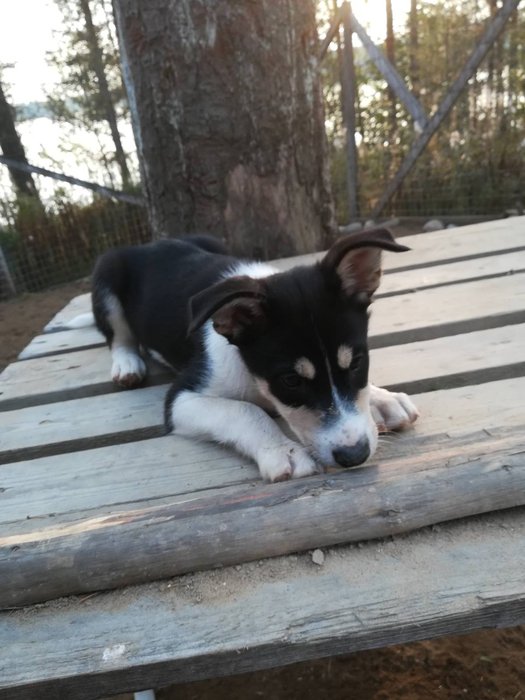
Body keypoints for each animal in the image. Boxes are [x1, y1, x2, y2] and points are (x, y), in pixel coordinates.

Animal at [90, 229, 419, 482]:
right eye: (290, 380)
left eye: (357, 363)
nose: (355, 455)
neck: (253, 378)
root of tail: (149, 244)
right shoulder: (180, 398)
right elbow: (244, 411)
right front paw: (284, 452)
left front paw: (383, 398)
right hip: (106, 274)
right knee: (118, 336)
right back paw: (127, 365)